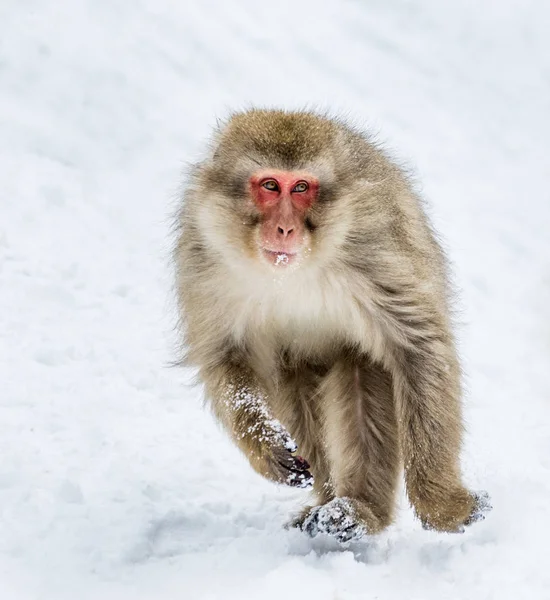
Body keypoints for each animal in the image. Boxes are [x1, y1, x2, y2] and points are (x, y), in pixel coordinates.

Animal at [174, 108, 492, 544]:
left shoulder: (374, 247)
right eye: (270, 186)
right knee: (289, 380)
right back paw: (328, 500)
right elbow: (227, 358)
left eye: (301, 187)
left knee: (360, 373)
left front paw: (442, 506)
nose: (285, 228)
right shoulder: (203, 259)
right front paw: (266, 447)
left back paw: (359, 511)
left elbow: (418, 347)